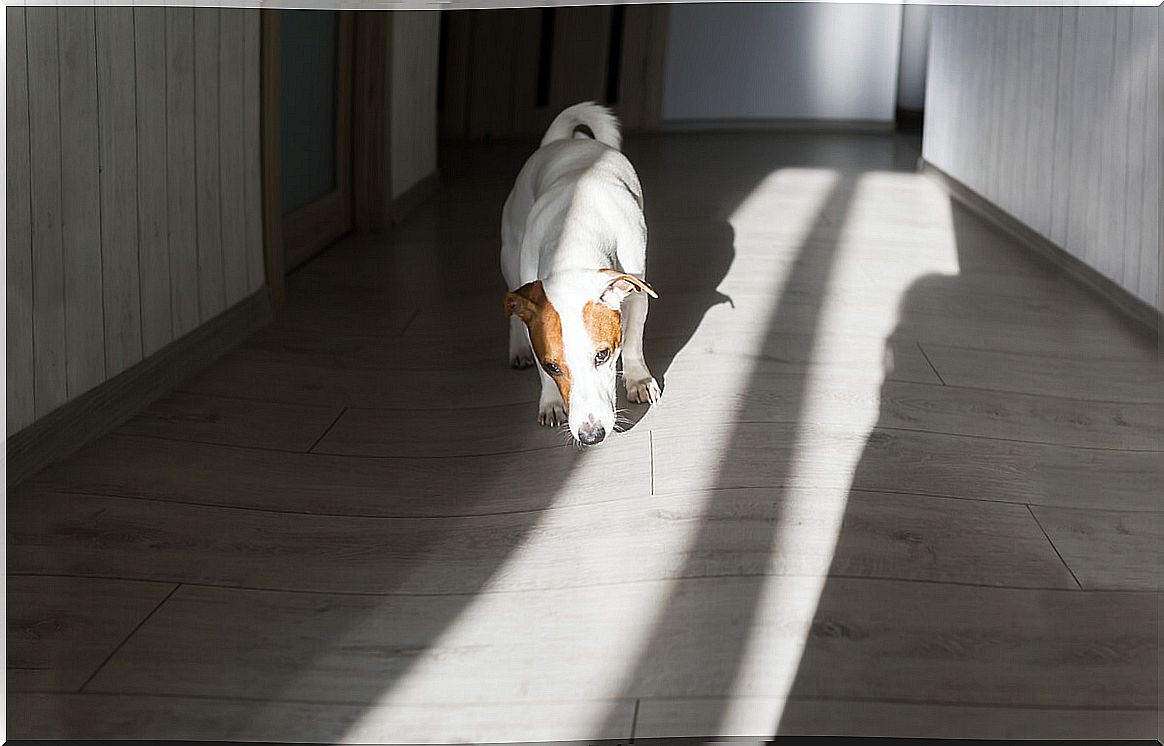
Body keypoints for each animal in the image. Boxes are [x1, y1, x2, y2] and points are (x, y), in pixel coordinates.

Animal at [500, 101, 661, 444]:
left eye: (603, 355)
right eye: (552, 366)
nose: (591, 436)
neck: (574, 230)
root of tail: (562, 140)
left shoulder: (637, 293)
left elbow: (633, 342)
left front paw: (638, 380)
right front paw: (550, 402)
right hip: (509, 254)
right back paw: (517, 349)